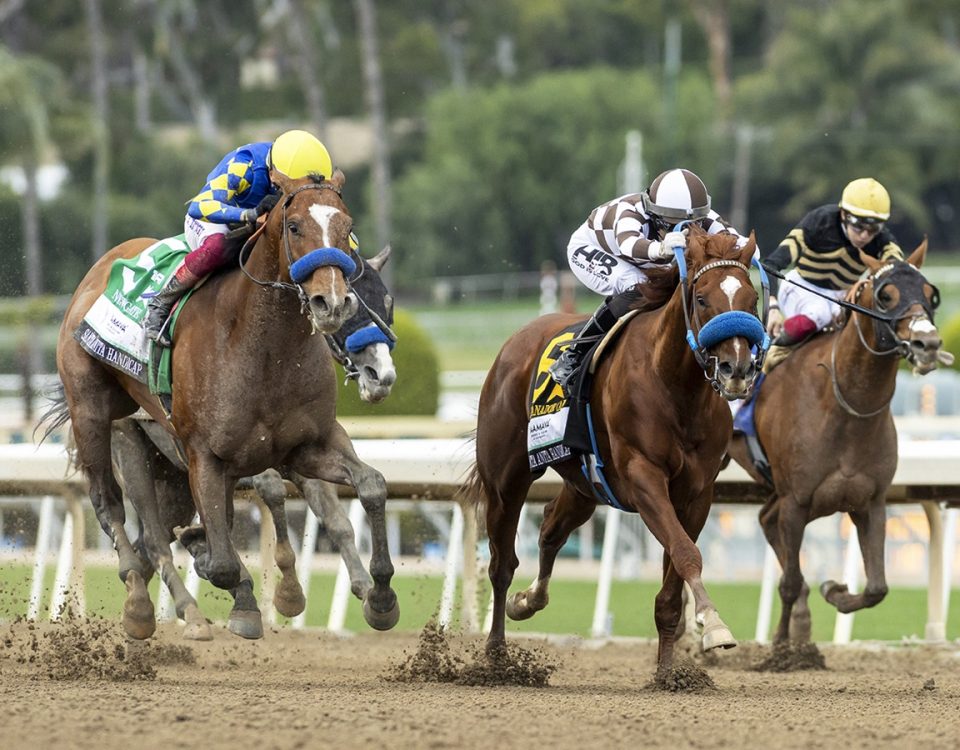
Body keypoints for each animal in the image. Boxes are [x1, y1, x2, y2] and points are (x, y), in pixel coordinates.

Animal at [109, 247, 398, 640]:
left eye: (387, 302)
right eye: (351, 305)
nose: (381, 376)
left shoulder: (304, 453)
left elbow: (338, 518)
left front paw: (367, 589)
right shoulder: (240, 460)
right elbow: (271, 490)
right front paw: (289, 592)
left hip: (174, 483)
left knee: (154, 541)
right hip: (131, 447)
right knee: (154, 540)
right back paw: (187, 612)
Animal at [462, 229, 768, 688]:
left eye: (750, 298)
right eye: (701, 299)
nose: (737, 369)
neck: (675, 386)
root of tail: (515, 341)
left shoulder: (696, 493)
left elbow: (672, 585)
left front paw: (668, 675)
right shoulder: (643, 477)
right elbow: (686, 553)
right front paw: (714, 626)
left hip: (585, 486)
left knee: (550, 528)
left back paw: (529, 600)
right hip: (506, 480)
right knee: (501, 564)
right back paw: (497, 657)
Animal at [728, 242, 944, 652]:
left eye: (930, 294)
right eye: (886, 295)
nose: (928, 344)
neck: (845, 407)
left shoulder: (870, 502)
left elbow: (877, 588)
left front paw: (834, 589)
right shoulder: (797, 501)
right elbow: (789, 581)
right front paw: (782, 647)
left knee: (766, 520)